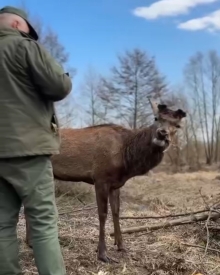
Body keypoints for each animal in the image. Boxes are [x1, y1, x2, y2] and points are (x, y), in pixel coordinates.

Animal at [23, 98, 186, 264]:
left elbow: (116, 211)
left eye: (177, 125)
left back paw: (30, 242)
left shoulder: (116, 184)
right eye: (156, 118)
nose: (162, 133)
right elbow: (102, 214)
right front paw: (102, 254)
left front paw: (121, 245)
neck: (126, 160)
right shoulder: (100, 178)